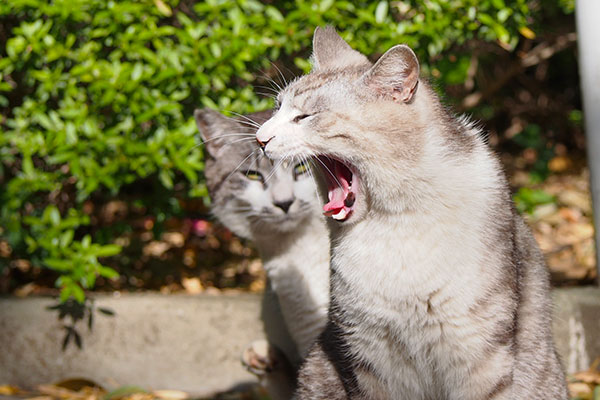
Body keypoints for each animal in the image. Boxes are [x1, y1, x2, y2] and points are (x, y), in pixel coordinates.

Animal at [254, 27, 568, 400]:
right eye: (277, 107)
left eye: (304, 117)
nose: (259, 137)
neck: (392, 224)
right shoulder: (370, 352)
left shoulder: (477, 353)